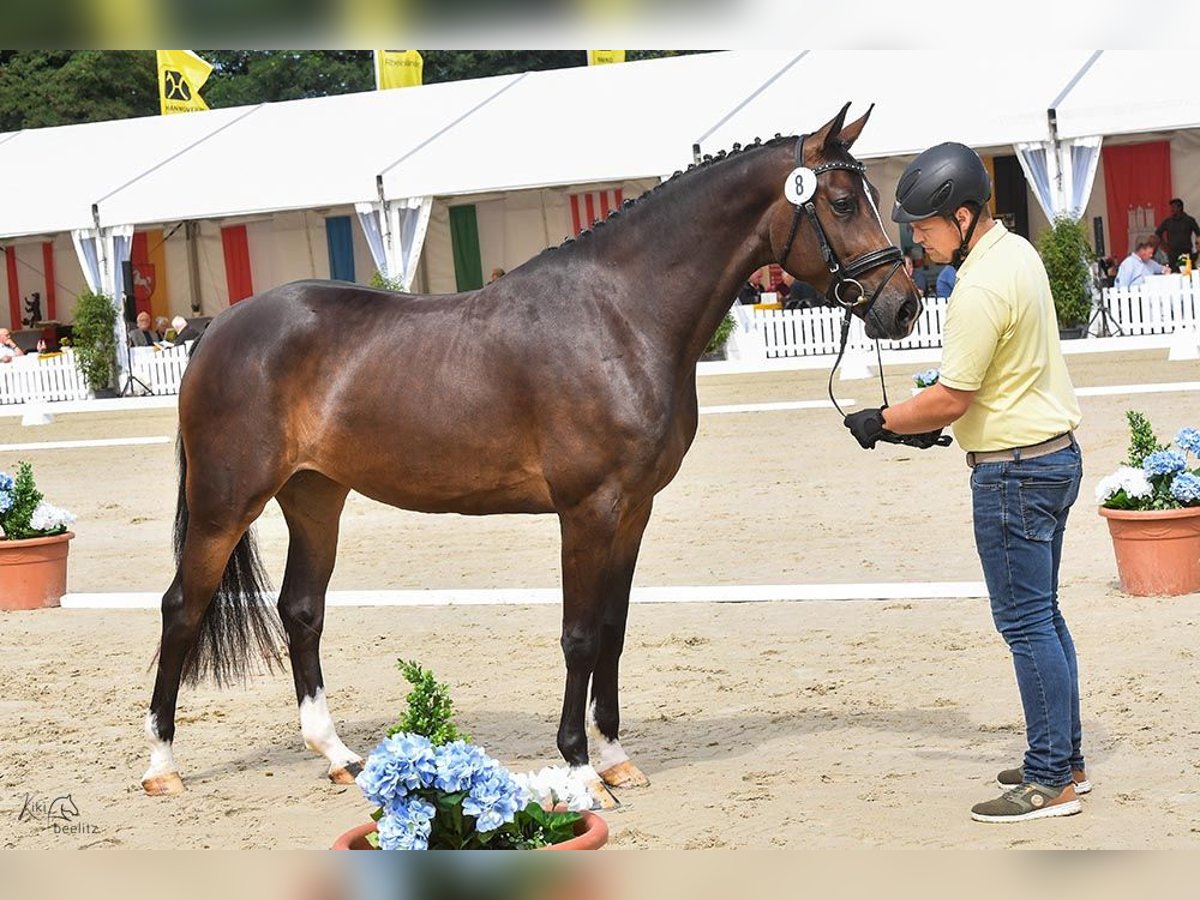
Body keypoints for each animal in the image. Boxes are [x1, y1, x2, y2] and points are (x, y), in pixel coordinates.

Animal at [145, 102, 921, 806]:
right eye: (844, 202)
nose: (904, 307)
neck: (620, 315)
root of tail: (219, 329)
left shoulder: (633, 511)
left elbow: (611, 630)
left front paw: (616, 759)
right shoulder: (586, 509)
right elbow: (578, 635)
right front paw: (580, 770)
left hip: (314, 495)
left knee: (301, 609)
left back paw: (338, 756)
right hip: (225, 504)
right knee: (183, 606)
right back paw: (162, 766)